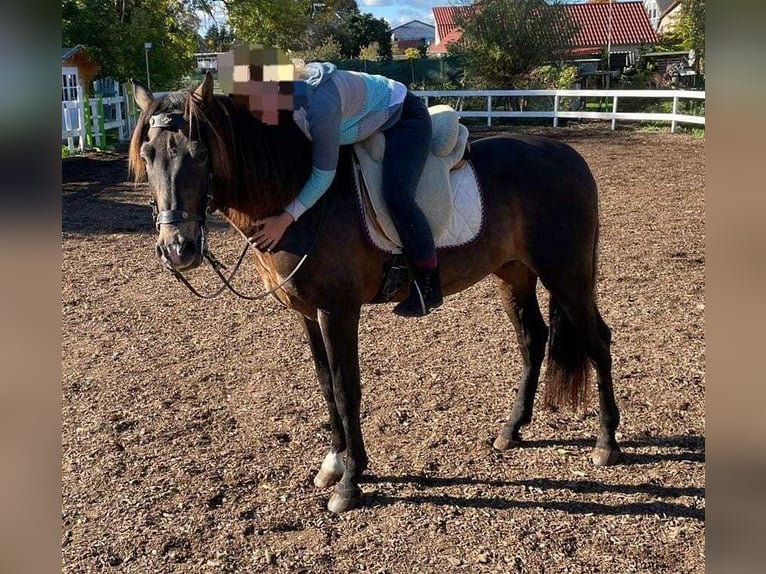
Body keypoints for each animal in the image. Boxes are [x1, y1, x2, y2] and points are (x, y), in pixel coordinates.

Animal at [130, 74, 624, 516]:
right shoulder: (307, 313)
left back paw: (606, 442)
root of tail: (568, 155)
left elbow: (346, 388)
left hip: (567, 276)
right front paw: (334, 463)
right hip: (514, 274)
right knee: (533, 340)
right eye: (148, 154)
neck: (297, 197)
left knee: (598, 342)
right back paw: (512, 429)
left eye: (199, 154)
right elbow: (325, 385)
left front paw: (350, 483)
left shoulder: (338, 311)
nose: (178, 248)